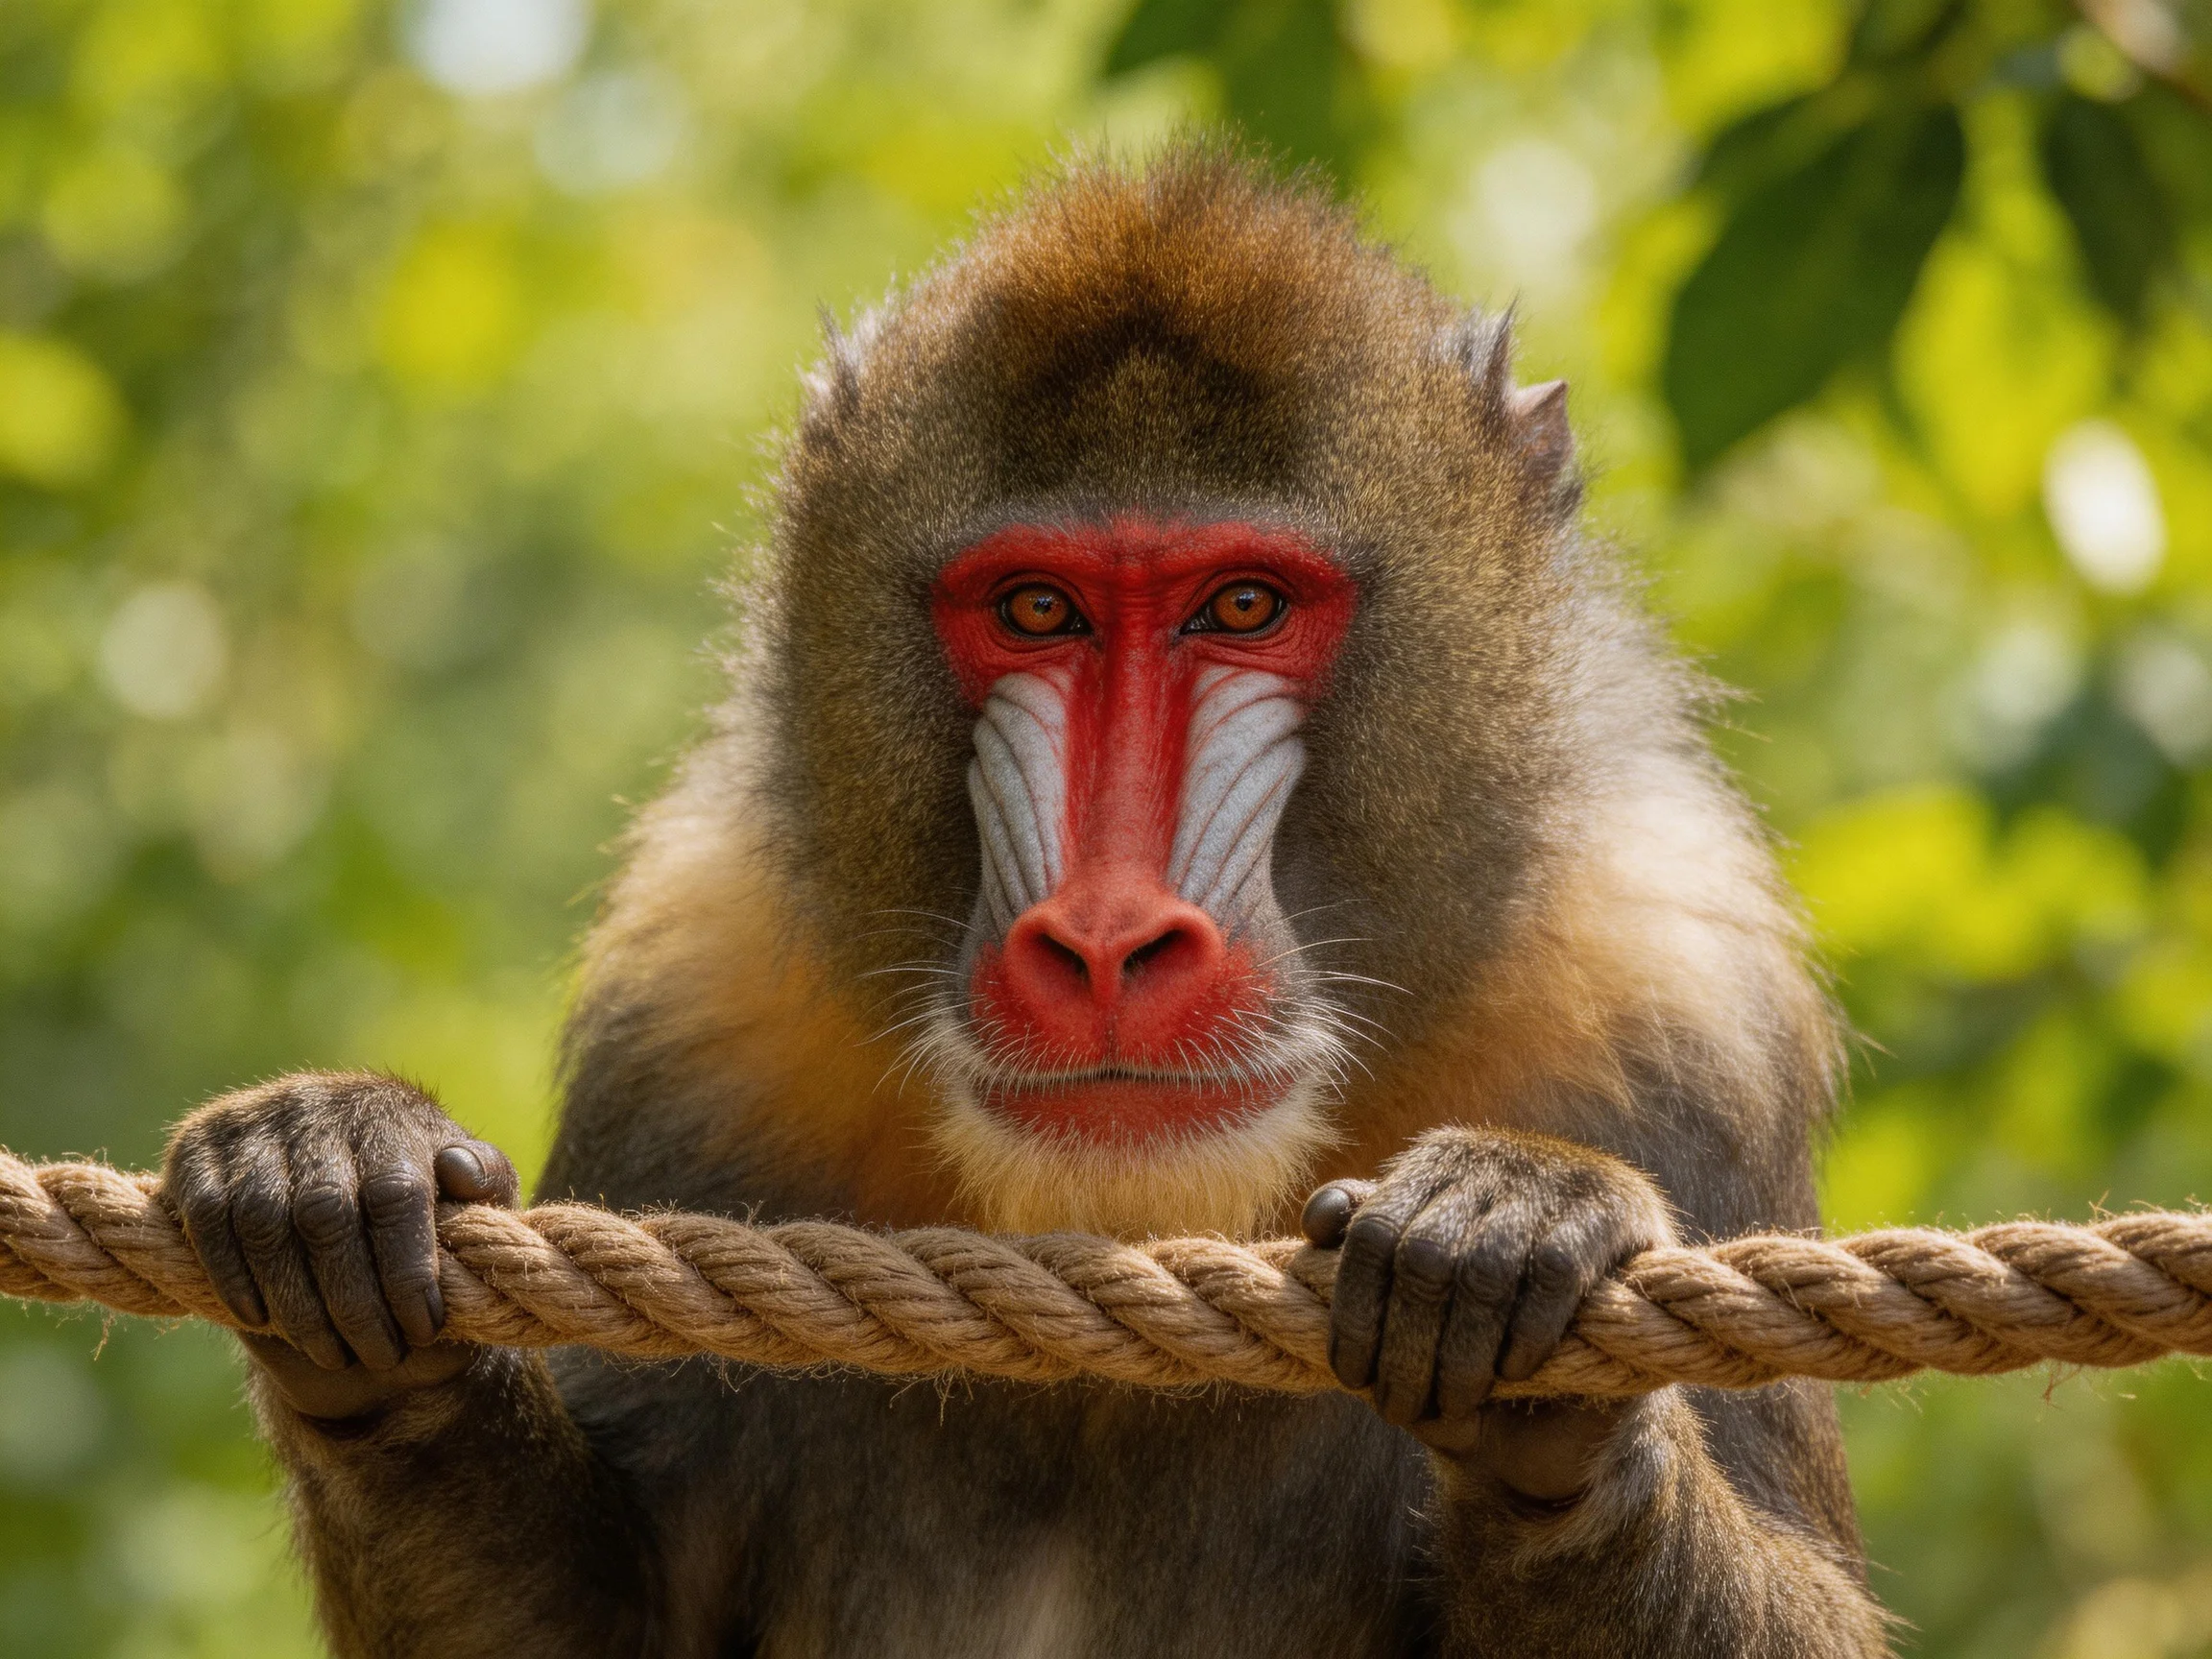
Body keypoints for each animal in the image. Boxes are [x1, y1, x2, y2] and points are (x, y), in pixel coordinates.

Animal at [162, 148, 1891, 1656]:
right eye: (1039, 609)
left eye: (1240, 605)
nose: (1107, 940)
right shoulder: (698, 1004)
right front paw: (332, 1181)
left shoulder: (1672, 1012)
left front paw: (1525, 1289)